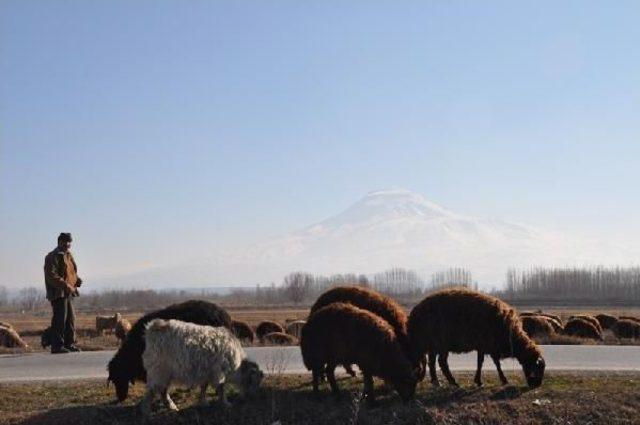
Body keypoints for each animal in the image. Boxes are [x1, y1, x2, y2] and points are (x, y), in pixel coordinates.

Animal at [410, 288, 544, 388]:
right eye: (538, 367)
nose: (536, 385)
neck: (510, 334)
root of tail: (415, 311)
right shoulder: (488, 345)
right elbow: (494, 363)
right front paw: (502, 380)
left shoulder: (484, 346)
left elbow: (481, 362)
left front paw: (479, 381)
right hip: (440, 342)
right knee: (441, 362)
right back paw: (452, 382)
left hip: (434, 344)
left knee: (432, 362)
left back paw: (437, 382)